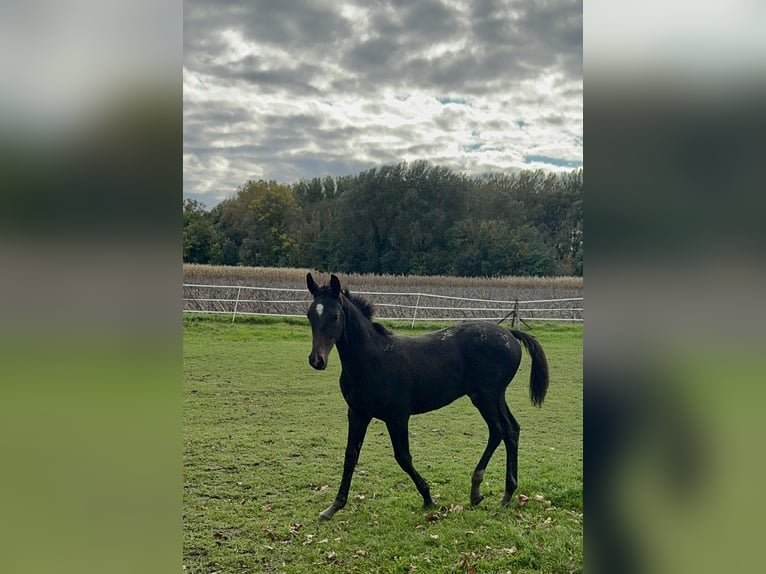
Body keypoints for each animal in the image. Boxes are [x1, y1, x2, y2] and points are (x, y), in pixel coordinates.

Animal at [304, 274, 548, 520]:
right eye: (309, 314)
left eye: (335, 316)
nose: (317, 360)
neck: (373, 359)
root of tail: (510, 334)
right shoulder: (357, 413)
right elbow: (350, 455)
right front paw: (333, 507)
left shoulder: (397, 416)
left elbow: (403, 457)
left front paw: (428, 498)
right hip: (497, 396)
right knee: (511, 429)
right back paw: (507, 493)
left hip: (484, 396)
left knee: (498, 430)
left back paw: (476, 490)